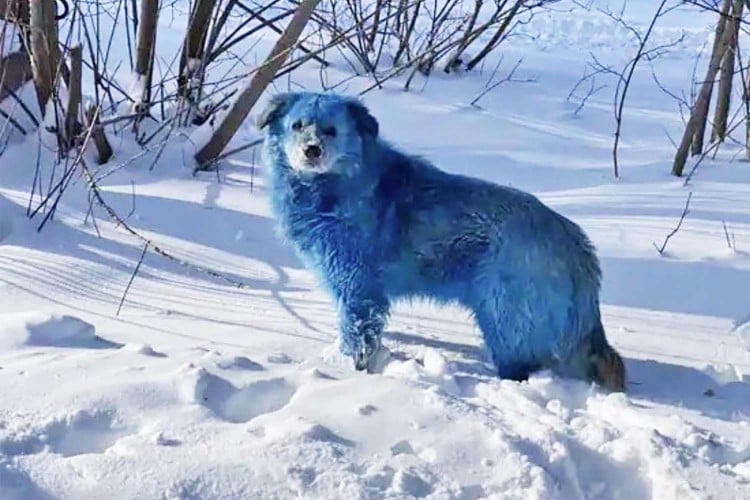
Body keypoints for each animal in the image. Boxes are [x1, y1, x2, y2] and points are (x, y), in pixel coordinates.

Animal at [262, 92, 624, 392]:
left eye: (331, 130)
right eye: (297, 125)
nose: (311, 150)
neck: (338, 184)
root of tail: (576, 245)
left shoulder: (357, 288)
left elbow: (357, 335)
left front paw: (346, 371)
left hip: (504, 319)